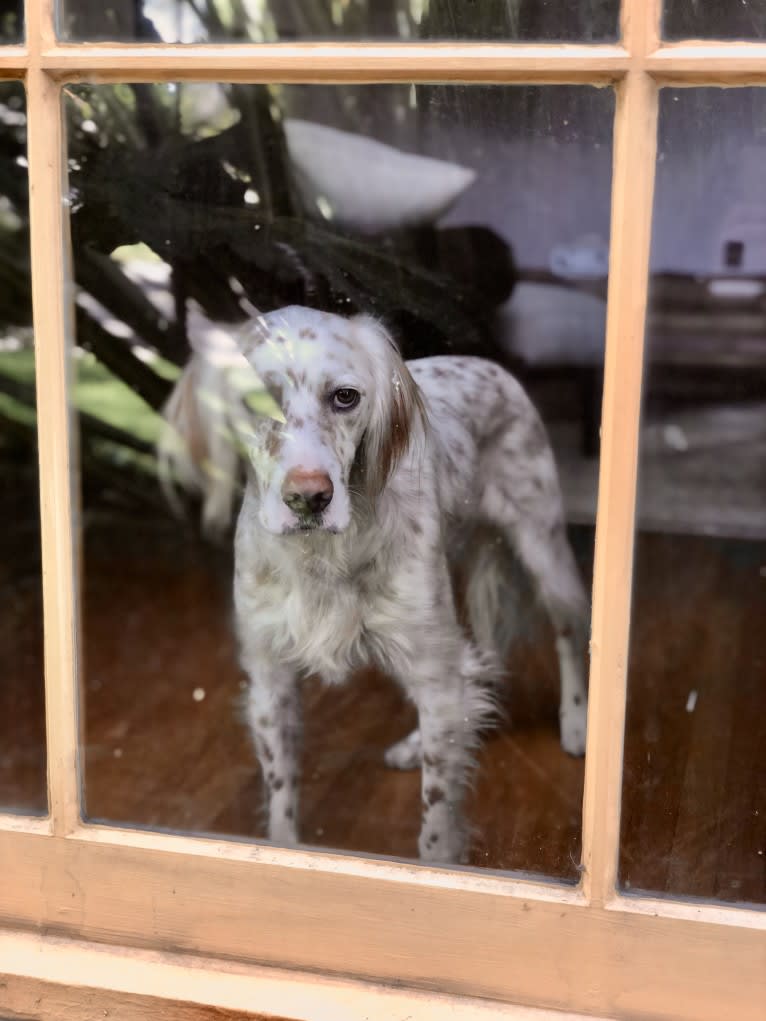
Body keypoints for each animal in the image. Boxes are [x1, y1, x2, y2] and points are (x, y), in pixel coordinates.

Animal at [159, 306, 592, 865]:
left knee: (569, 633)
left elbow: (436, 818)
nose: (310, 498)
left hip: (542, 546)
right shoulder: (270, 679)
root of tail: (487, 363)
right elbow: (281, 794)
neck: (321, 556)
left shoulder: (435, 666)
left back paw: (576, 722)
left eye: (345, 397)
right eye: (254, 398)